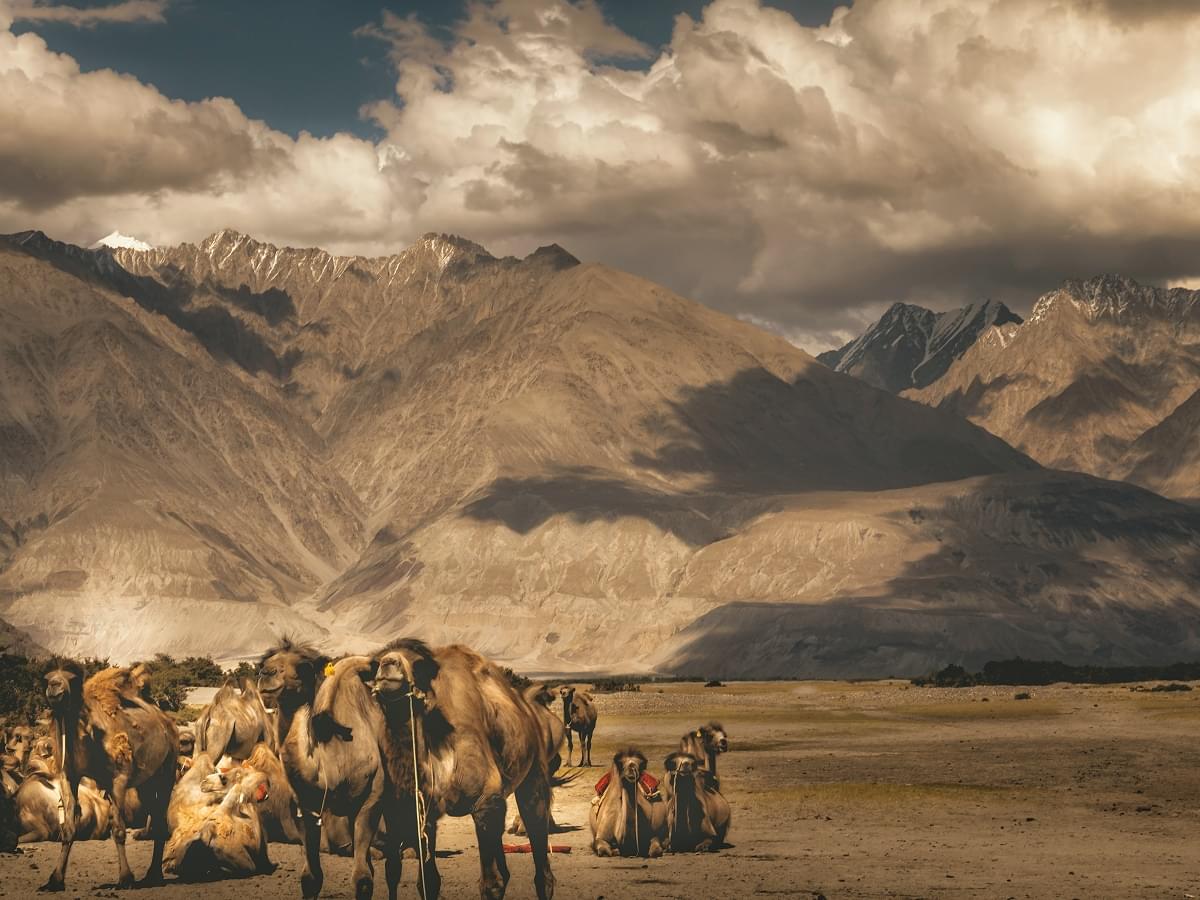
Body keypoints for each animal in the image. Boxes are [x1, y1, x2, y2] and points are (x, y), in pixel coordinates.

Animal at [39, 657, 176, 892]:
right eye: (47, 679)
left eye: (72, 680)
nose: (54, 687)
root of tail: (167, 722)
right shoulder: (68, 776)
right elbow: (68, 829)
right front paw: (54, 881)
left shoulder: (118, 779)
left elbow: (118, 830)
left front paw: (125, 879)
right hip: (146, 783)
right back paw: (151, 876)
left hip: (167, 769)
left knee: (160, 817)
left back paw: (154, 876)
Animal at [364, 643, 556, 900]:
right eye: (376, 663)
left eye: (418, 664)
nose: (388, 663)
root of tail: (525, 705)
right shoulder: (424, 814)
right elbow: (428, 883)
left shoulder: (485, 801)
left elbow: (491, 884)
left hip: (535, 769)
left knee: (537, 831)